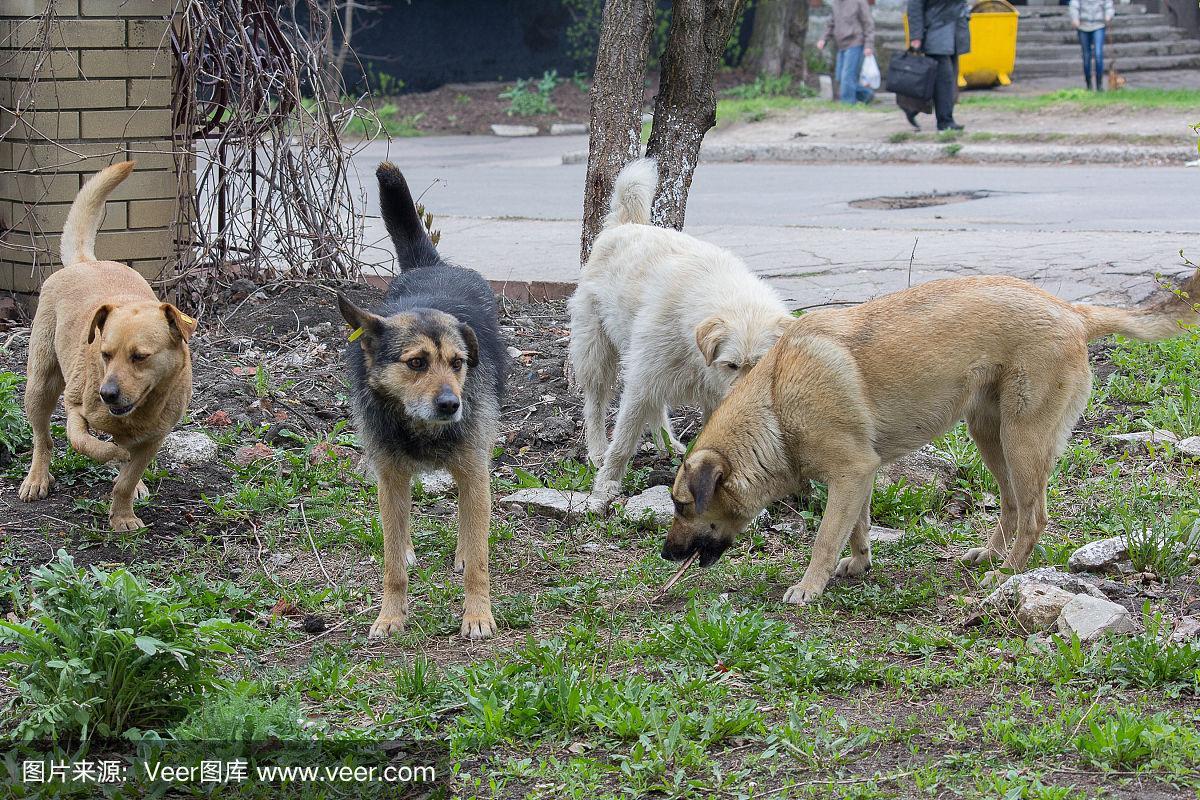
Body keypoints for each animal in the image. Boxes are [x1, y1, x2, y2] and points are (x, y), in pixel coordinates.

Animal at [18, 163, 194, 532]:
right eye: (105, 354)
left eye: (140, 357)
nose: (107, 394)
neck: (136, 413)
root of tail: (86, 261)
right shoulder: (75, 409)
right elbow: (85, 442)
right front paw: (112, 455)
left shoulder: (154, 437)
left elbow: (127, 478)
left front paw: (123, 514)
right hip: (41, 384)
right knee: (43, 438)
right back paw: (37, 477)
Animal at [338, 160, 506, 638]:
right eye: (416, 363)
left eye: (458, 363)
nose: (452, 405)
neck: (420, 428)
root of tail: (432, 265)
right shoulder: (390, 477)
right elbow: (392, 564)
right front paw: (390, 615)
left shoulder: (474, 470)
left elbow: (479, 560)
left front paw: (477, 614)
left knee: (470, 520)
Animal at [566, 158, 792, 503]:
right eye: (731, 365)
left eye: (760, 365)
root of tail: (623, 225)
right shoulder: (641, 381)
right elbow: (624, 438)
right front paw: (607, 482)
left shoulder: (711, 397)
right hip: (598, 353)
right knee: (595, 404)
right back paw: (596, 451)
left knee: (656, 406)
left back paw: (667, 444)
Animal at [667, 272, 1200, 604]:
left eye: (682, 506)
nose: (666, 554)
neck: (777, 403)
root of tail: (1070, 310)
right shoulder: (860, 476)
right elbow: (855, 528)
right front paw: (858, 564)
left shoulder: (850, 473)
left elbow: (825, 539)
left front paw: (809, 587)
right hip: (991, 437)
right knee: (1011, 504)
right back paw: (991, 554)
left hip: (1023, 440)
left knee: (1034, 517)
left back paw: (1007, 572)